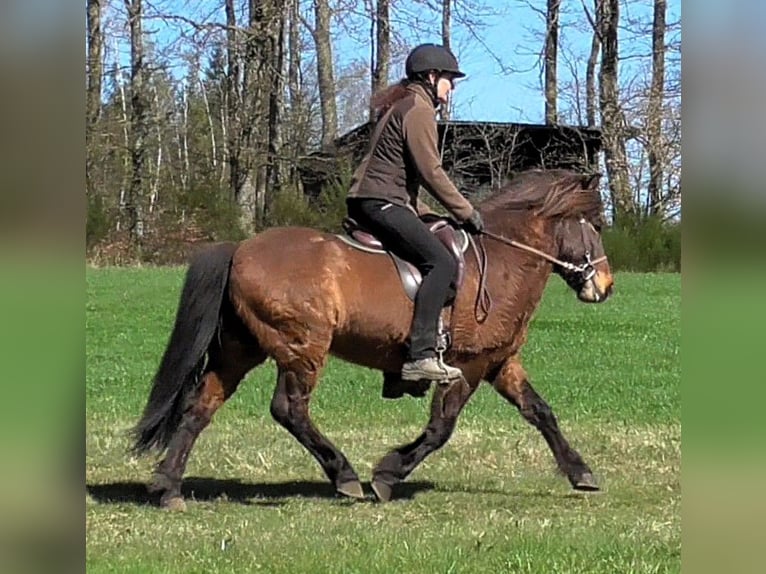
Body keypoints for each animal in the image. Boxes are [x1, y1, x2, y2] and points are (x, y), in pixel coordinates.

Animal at [131, 168, 614, 510]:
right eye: (595, 224)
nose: (606, 286)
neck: (501, 258)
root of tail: (241, 249)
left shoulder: (499, 362)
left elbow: (541, 412)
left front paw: (580, 471)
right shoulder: (468, 364)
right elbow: (441, 428)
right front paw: (387, 474)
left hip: (240, 350)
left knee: (200, 407)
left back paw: (169, 486)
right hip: (303, 348)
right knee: (290, 410)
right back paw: (343, 475)